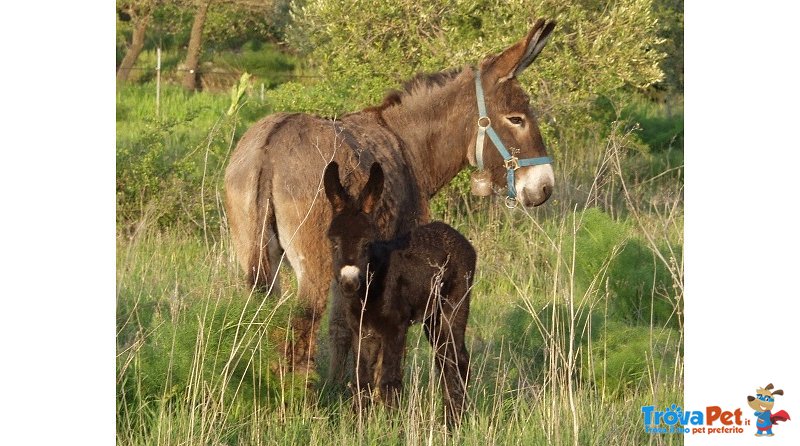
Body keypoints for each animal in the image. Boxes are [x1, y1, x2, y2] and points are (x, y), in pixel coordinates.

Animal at [324, 160, 476, 426]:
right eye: (333, 242)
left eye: (367, 243)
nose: (349, 283)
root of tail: (458, 237)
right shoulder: (362, 330)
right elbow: (361, 382)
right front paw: (359, 426)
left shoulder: (395, 327)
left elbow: (389, 382)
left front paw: (392, 428)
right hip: (432, 317)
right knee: (445, 359)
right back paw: (453, 418)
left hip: (453, 308)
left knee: (456, 360)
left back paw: (454, 422)